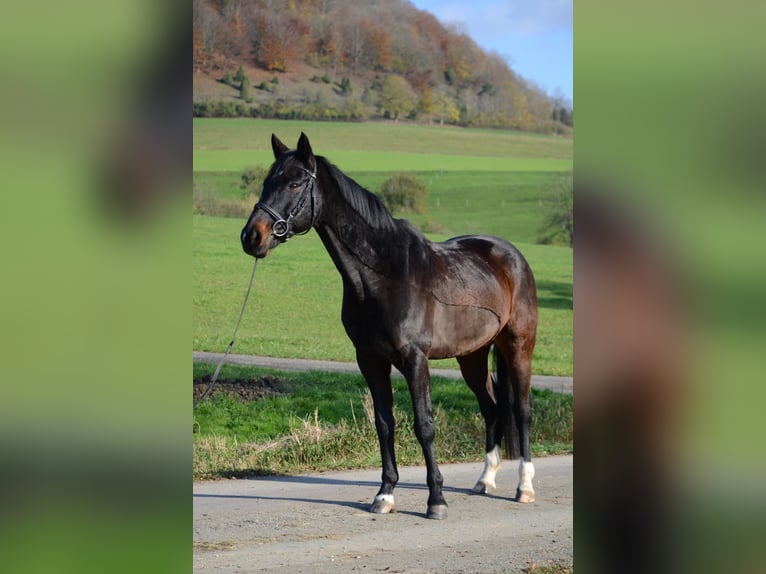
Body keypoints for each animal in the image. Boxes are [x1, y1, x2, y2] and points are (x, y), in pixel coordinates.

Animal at [242, 133, 540, 520]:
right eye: (267, 182)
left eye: (294, 183)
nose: (252, 236)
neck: (383, 274)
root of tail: (511, 256)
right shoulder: (370, 360)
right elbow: (384, 424)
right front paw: (384, 495)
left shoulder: (415, 359)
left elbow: (424, 425)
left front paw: (436, 500)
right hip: (472, 355)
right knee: (491, 408)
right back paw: (484, 480)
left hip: (518, 346)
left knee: (522, 411)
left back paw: (525, 487)